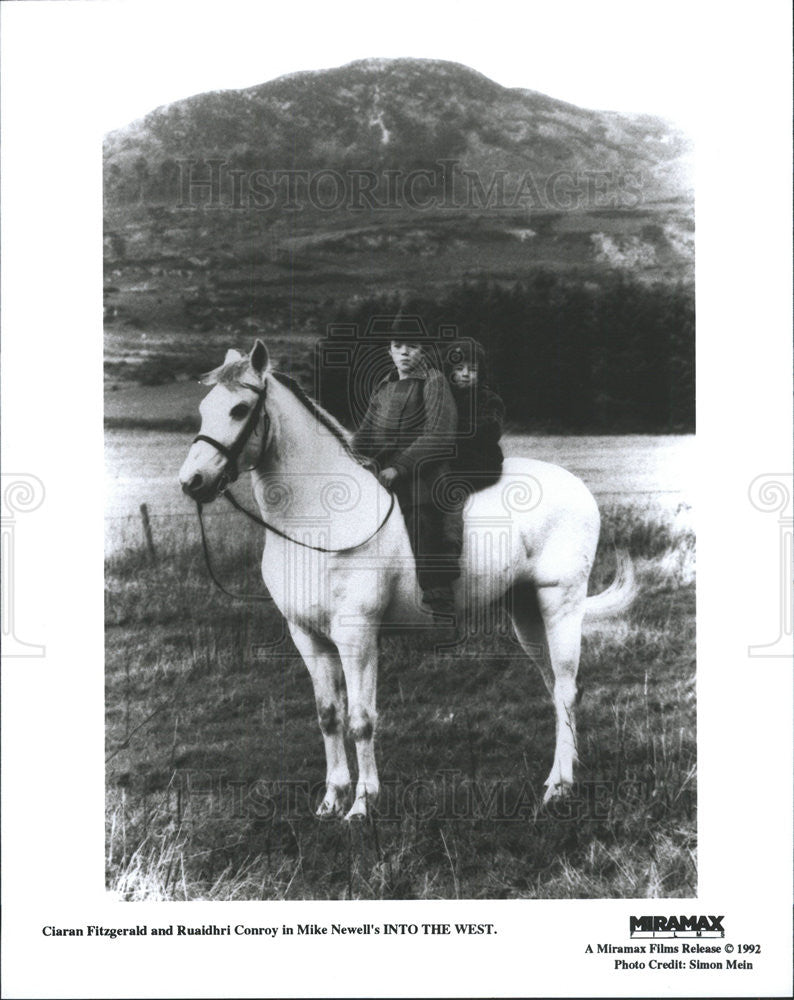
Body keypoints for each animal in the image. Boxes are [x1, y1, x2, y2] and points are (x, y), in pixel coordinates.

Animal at [176, 342, 636, 820]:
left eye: (239, 409)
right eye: (204, 408)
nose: (192, 482)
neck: (319, 519)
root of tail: (579, 488)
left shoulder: (357, 635)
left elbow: (361, 719)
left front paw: (362, 805)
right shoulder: (307, 636)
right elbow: (329, 715)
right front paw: (331, 801)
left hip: (560, 605)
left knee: (565, 689)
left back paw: (558, 788)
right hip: (526, 612)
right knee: (556, 687)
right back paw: (561, 777)